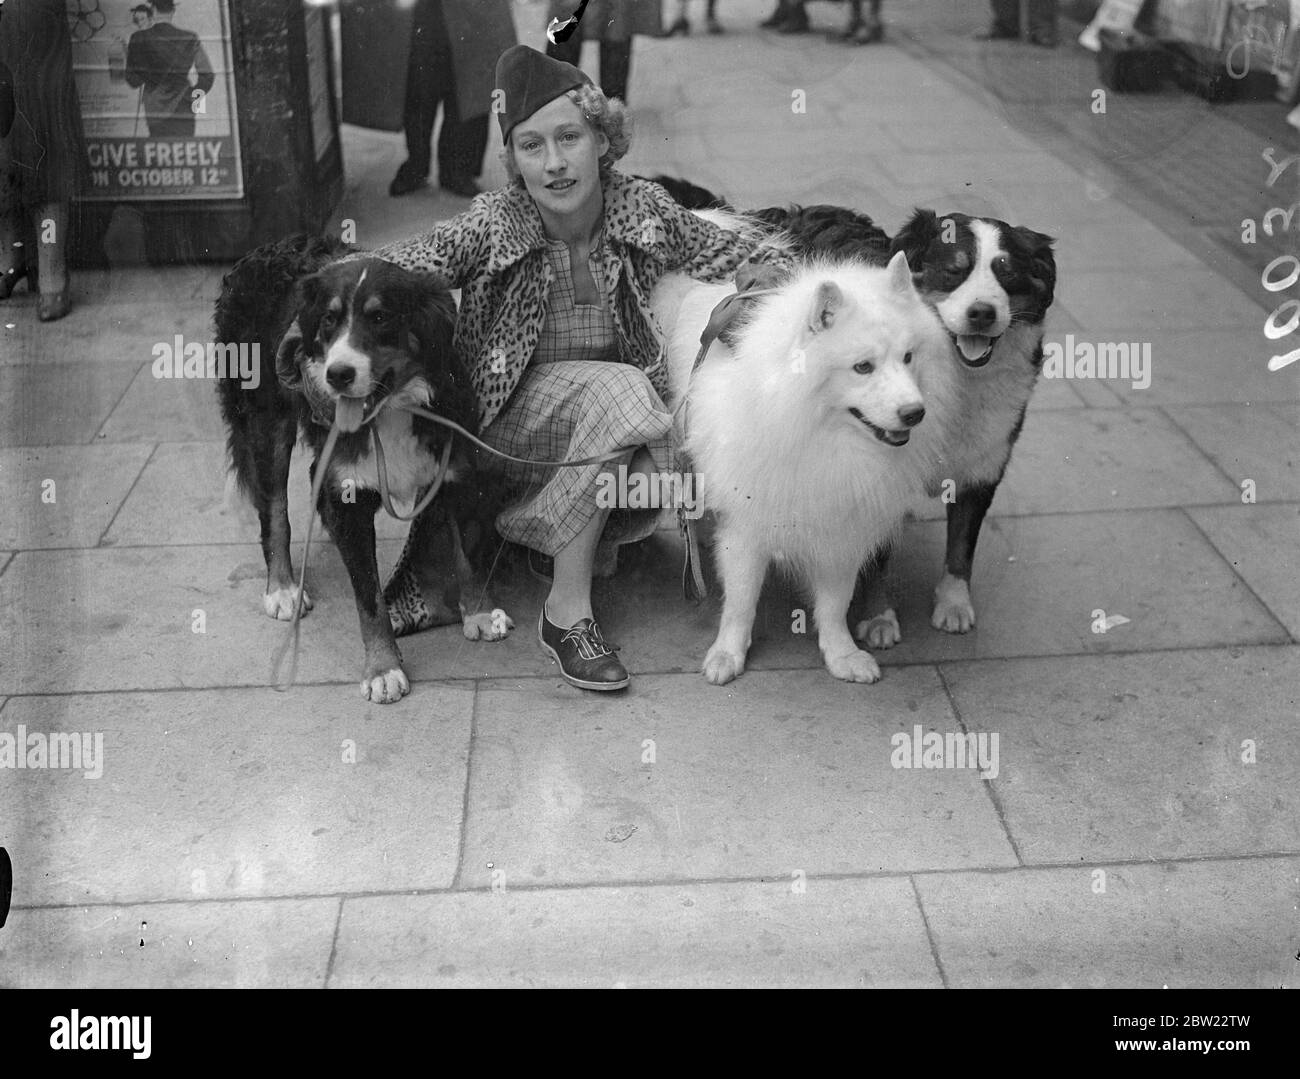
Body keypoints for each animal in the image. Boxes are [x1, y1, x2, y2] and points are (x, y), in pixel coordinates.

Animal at [214, 237, 512, 707]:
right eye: (329, 321)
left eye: (380, 317)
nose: (338, 374)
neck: (394, 409)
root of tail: (261, 251)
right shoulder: (347, 499)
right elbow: (369, 599)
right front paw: (383, 669)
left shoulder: (457, 473)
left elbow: (468, 553)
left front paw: (480, 613)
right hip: (266, 423)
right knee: (275, 514)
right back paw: (281, 588)